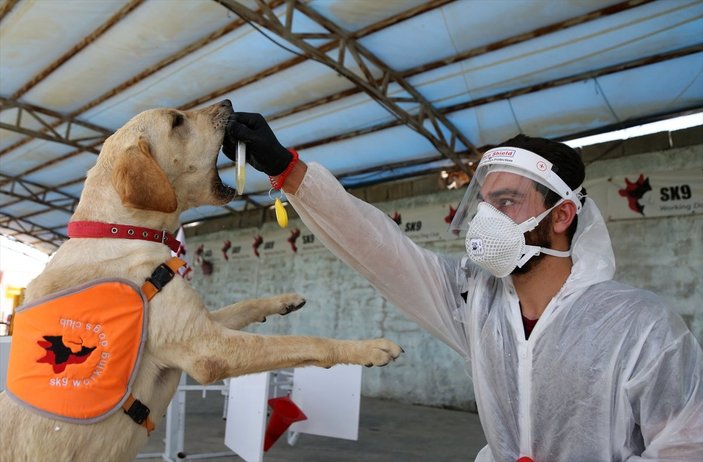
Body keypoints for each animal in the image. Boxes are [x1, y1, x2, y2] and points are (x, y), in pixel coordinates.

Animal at [0, 100, 402, 462]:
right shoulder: (207, 347)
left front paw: (283, 300)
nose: (228, 102)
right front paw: (369, 348)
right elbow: (303, 340)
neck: (118, 230)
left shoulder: (202, 324)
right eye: (177, 121)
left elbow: (244, 305)